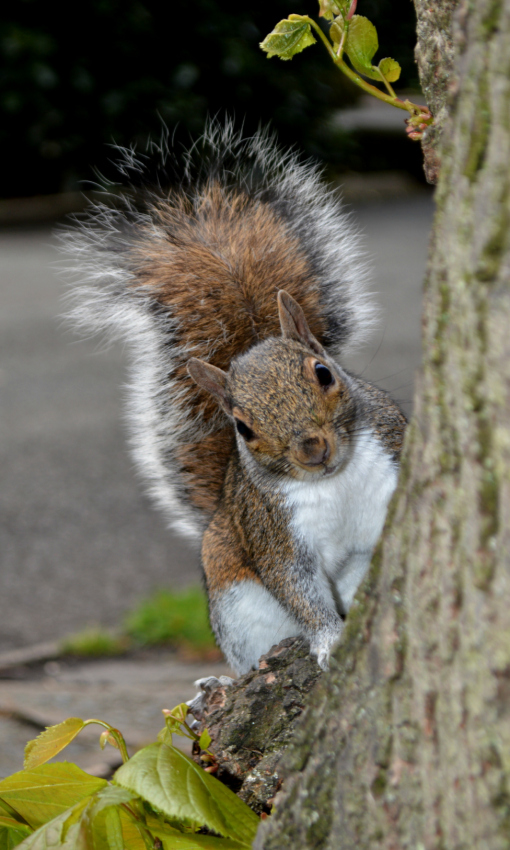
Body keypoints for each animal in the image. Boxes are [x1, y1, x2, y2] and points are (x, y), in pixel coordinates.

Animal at [63, 122, 406, 672]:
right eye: (242, 427)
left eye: (324, 373)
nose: (312, 449)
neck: (335, 481)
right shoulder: (274, 531)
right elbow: (296, 587)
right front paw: (329, 639)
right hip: (235, 602)